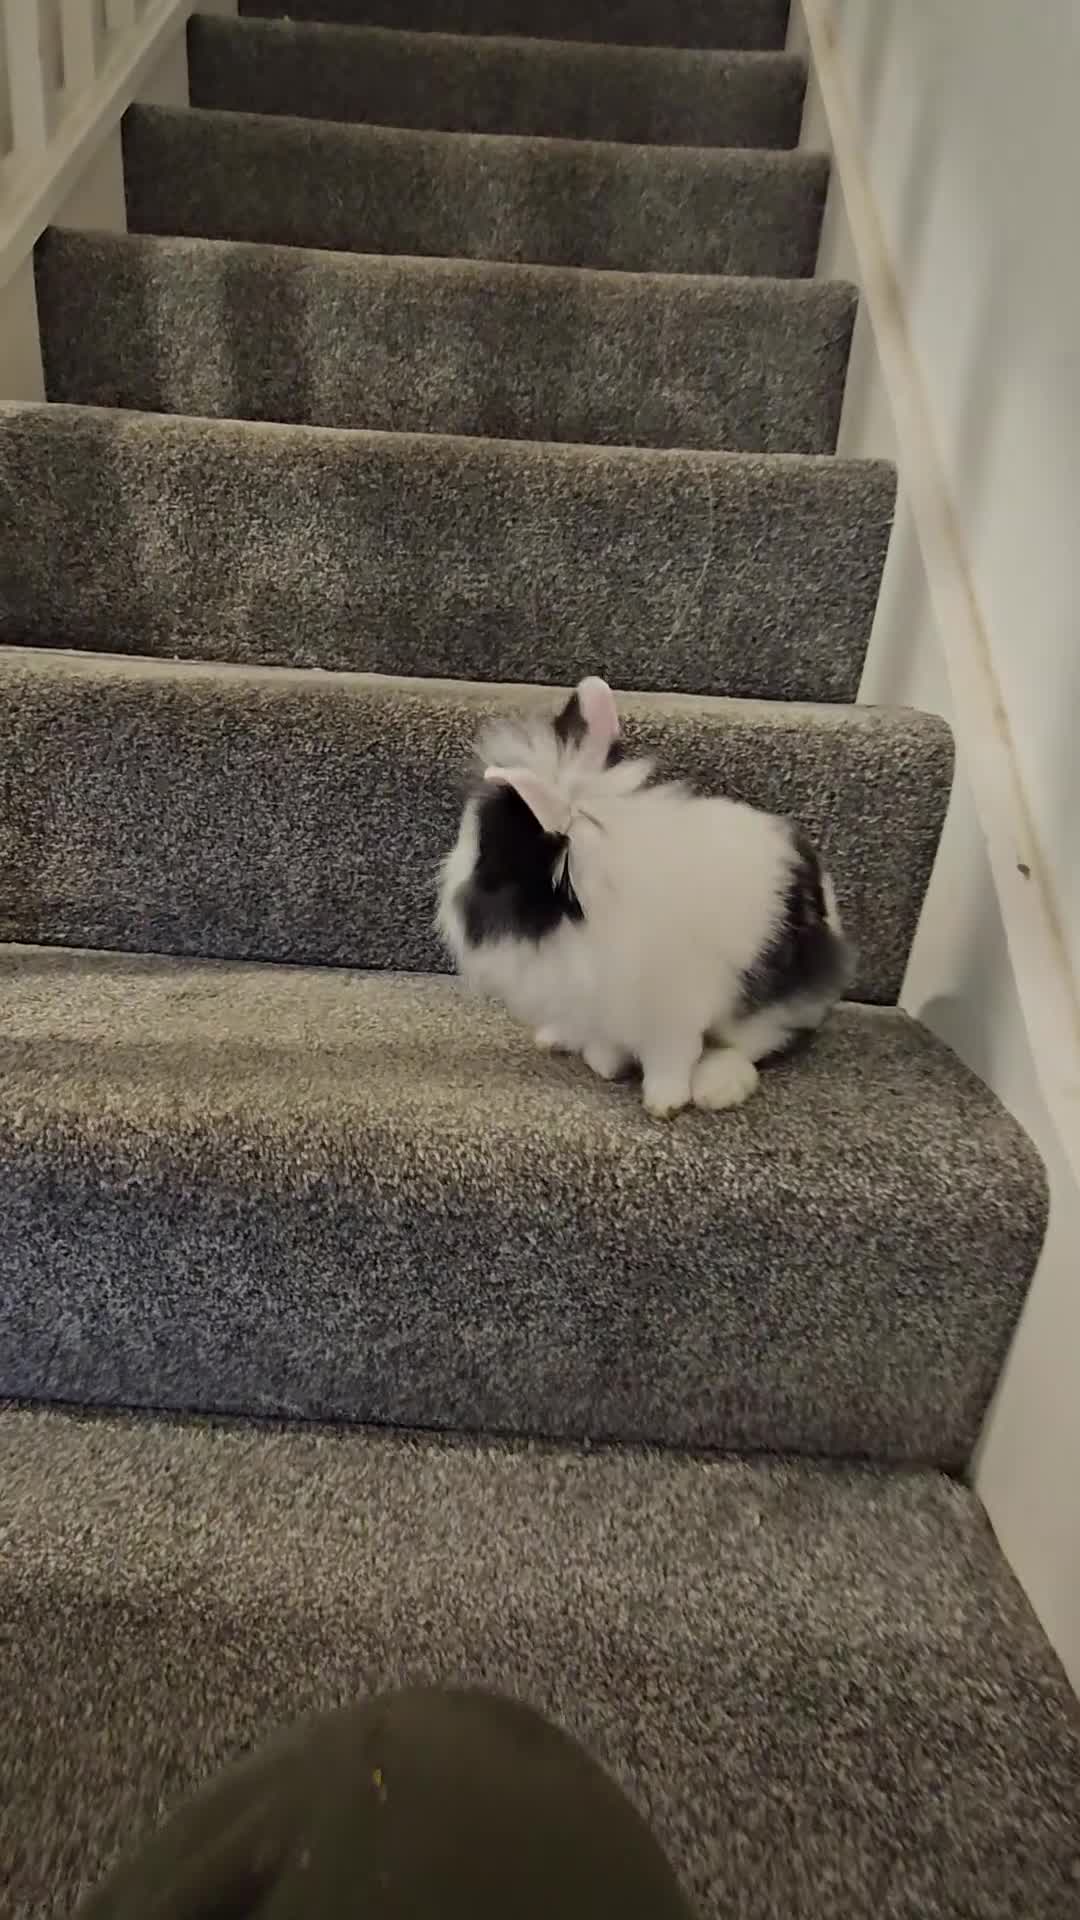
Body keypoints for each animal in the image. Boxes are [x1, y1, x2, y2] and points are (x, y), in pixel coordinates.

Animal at [436, 676, 854, 1118]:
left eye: (490, 862)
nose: (448, 904)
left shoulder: (674, 1010)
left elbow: (671, 1058)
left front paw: (664, 1101)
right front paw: (606, 1061)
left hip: (772, 1004)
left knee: (756, 1044)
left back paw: (716, 1087)